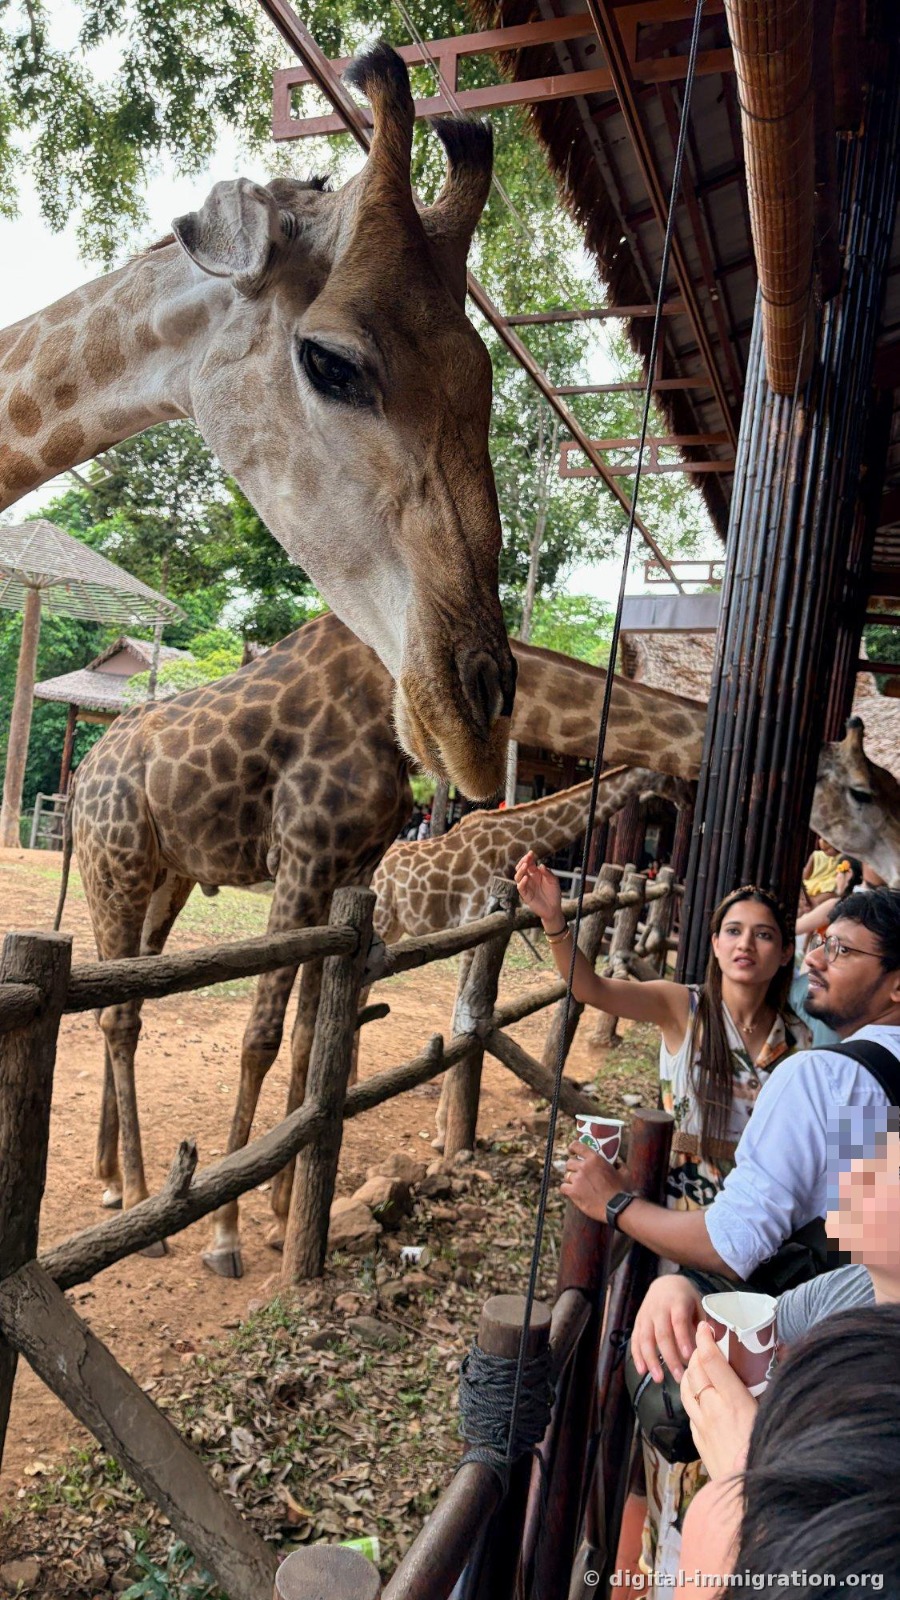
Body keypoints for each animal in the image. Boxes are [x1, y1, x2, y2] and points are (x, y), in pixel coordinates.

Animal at [59, 612, 713, 1277]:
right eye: (674, 783)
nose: (691, 832)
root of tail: (84, 772)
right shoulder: (305, 861)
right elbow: (262, 1039)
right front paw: (225, 1235)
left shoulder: (347, 871)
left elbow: (309, 1038)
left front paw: (283, 1219)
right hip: (116, 860)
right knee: (119, 1015)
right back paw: (142, 1203)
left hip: (169, 876)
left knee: (127, 1002)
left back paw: (112, 1180)